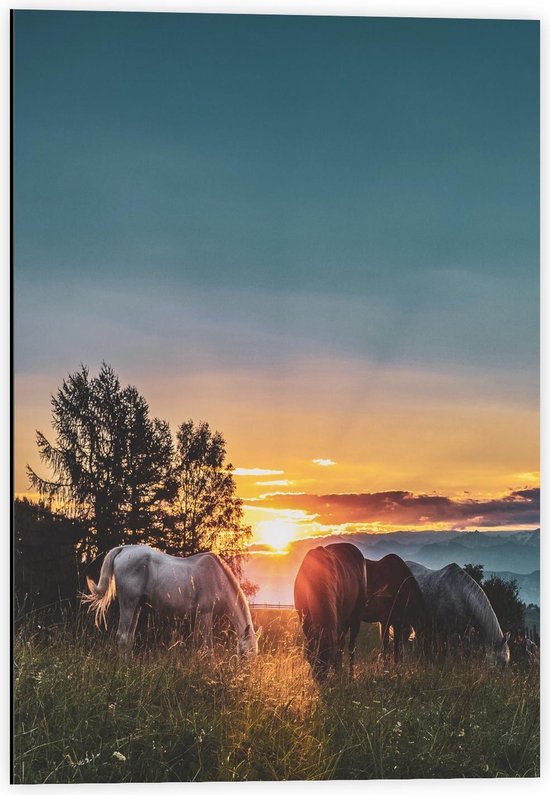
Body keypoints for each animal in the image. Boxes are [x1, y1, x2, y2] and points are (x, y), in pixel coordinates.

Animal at [83, 548, 262, 660]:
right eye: (244, 654)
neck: (218, 578)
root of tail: (124, 549)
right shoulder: (205, 615)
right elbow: (208, 647)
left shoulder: (198, 617)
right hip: (128, 604)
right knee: (122, 636)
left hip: (137, 607)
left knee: (128, 638)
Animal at [296, 544, 368, 680]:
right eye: (312, 659)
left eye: (328, 659)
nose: (320, 679)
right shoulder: (305, 621)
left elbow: (339, 647)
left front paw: (338, 672)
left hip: (355, 618)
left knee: (350, 647)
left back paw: (349, 675)